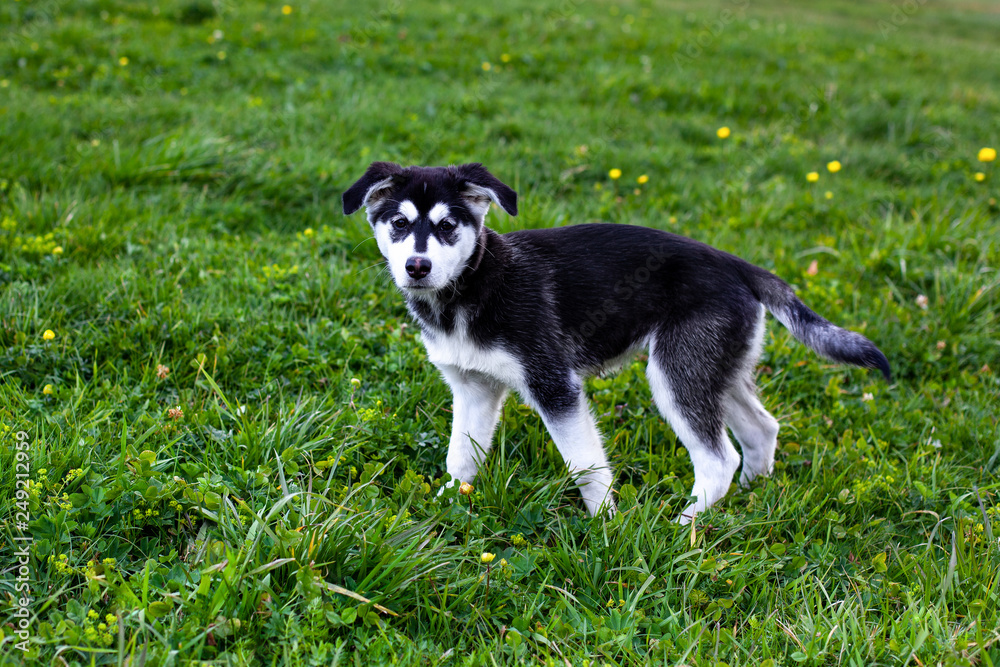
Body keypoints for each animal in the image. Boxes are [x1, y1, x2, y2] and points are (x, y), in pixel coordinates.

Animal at [340, 162, 888, 520]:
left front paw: (605, 527)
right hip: (713, 369)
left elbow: (585, 465)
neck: (472, 286)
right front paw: (446, 507)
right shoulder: (473, 387)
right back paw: (749, 498)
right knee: (761, 430)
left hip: (674, 374)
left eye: (448, 226)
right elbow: (461, 456)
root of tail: (737, 265)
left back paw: (683, 527)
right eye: (399, 224)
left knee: (718, 460)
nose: (417, 267)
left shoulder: (554, 386)